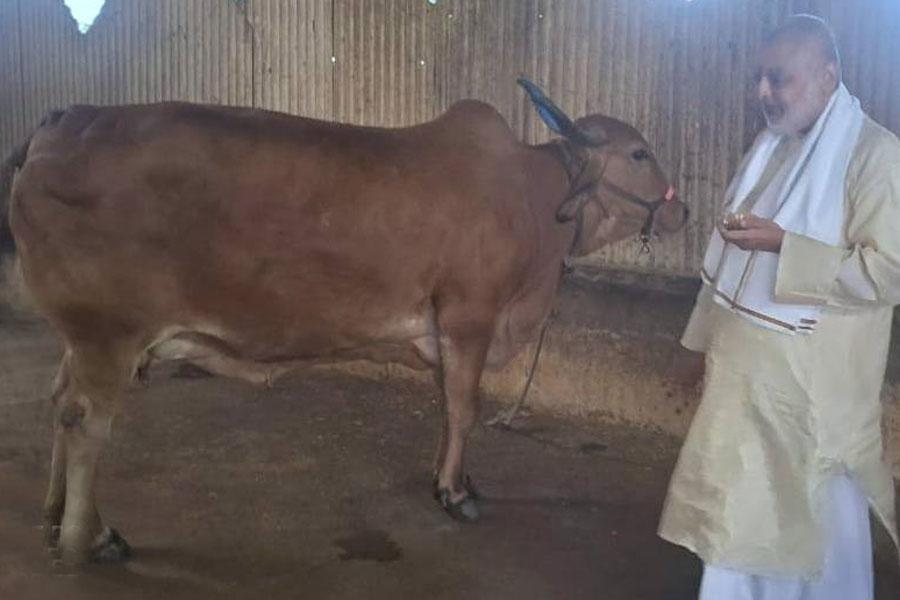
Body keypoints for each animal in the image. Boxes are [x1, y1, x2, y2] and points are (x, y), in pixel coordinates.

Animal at [0, 79, 687, 565]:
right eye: (639, 152)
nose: (682, 213)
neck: (533, 198)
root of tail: (64, 120)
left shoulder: (444, 333)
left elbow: (446, 408)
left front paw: (450, 479)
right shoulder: (470, 316)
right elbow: (464, 409)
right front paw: (457, 494)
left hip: (80, 339)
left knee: (60, 405)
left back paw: (55, 518)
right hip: (107, 334)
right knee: (87, 425)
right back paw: (90, 539)